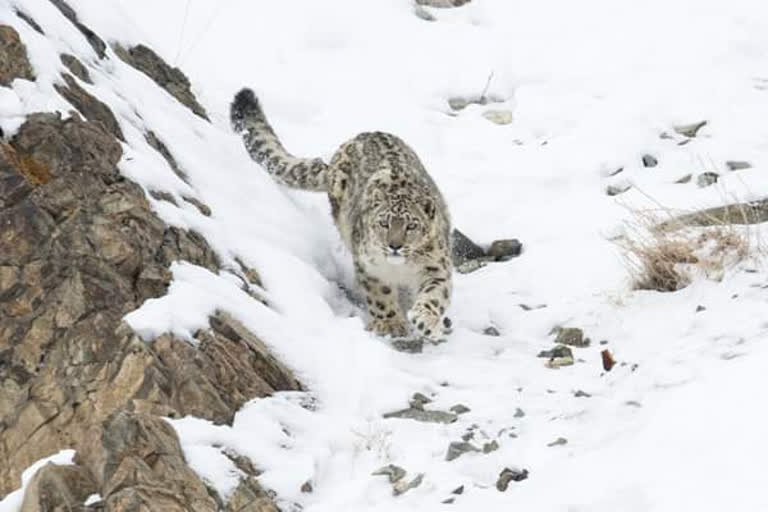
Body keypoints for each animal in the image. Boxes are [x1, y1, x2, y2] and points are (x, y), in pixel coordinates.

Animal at [231, 89, 452, 342]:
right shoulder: (369, 266)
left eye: (412, 226)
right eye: (384, 223)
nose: (394, 246)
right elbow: (381, 295)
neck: (399, 268)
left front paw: (426, 322)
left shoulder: (436, 266)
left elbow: (434, 295)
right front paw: (390, 323)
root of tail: (363, 135)